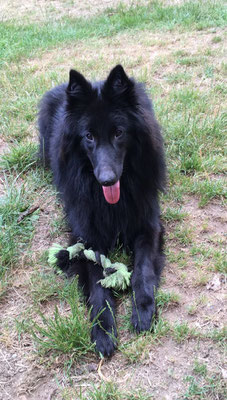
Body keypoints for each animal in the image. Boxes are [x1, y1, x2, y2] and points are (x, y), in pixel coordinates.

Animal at [38, 65, 166, 356]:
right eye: (89, 136)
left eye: (119, 133)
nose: (107, 180)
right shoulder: (87, 237)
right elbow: (97, 283)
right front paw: (103, 328)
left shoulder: (148, 225)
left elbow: (143, 269)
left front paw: (143, 309)